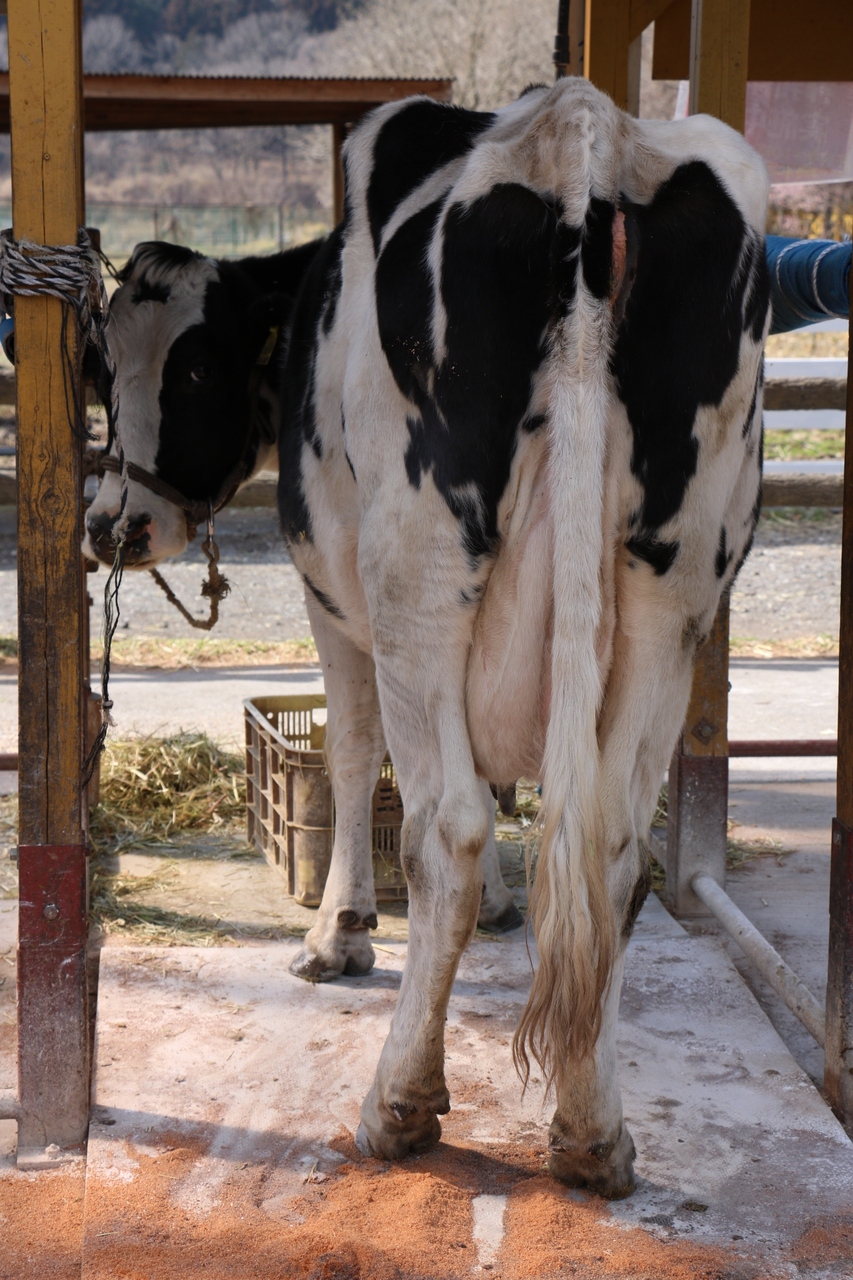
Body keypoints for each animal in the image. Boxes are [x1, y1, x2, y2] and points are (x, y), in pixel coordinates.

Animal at [275, 82, 768, 1198]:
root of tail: (585, 132)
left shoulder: (331, 597)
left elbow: (351, 750)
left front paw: (337, 934)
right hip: (674, 594)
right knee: (615, 843)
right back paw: (593, 1133)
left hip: (413, 572)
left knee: (445, 829)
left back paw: (398, 1105)